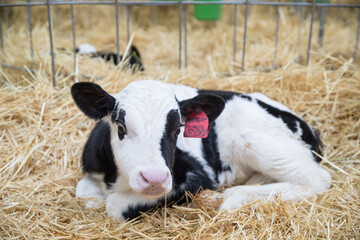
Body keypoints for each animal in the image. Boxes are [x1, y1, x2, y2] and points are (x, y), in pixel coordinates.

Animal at [71, 80, 332, 221]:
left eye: (178, 129)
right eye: (121, 127)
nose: (154, 178)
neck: (117, 179)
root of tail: (310, 128)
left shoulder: (199, 176)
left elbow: (114, 204)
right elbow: (83, 193)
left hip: (252, 140)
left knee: (316, 177)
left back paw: (227, 198)